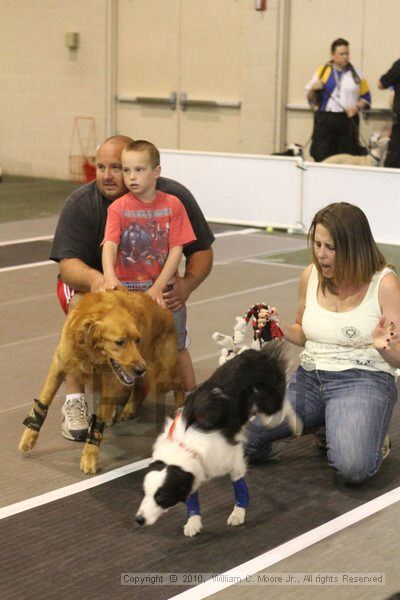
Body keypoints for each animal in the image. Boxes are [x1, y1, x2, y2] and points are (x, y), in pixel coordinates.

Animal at [136, 344, 298, 536]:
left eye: (161, 496)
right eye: (144, 492)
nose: (138, 520)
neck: (184, 445)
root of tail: (259, 353)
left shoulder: (231, 458)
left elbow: (239, 485)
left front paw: (238, 513)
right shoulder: (194, 468)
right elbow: (192, 495)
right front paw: (193, 521)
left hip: (269, 413)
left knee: (285, 404)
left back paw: (297, 424)